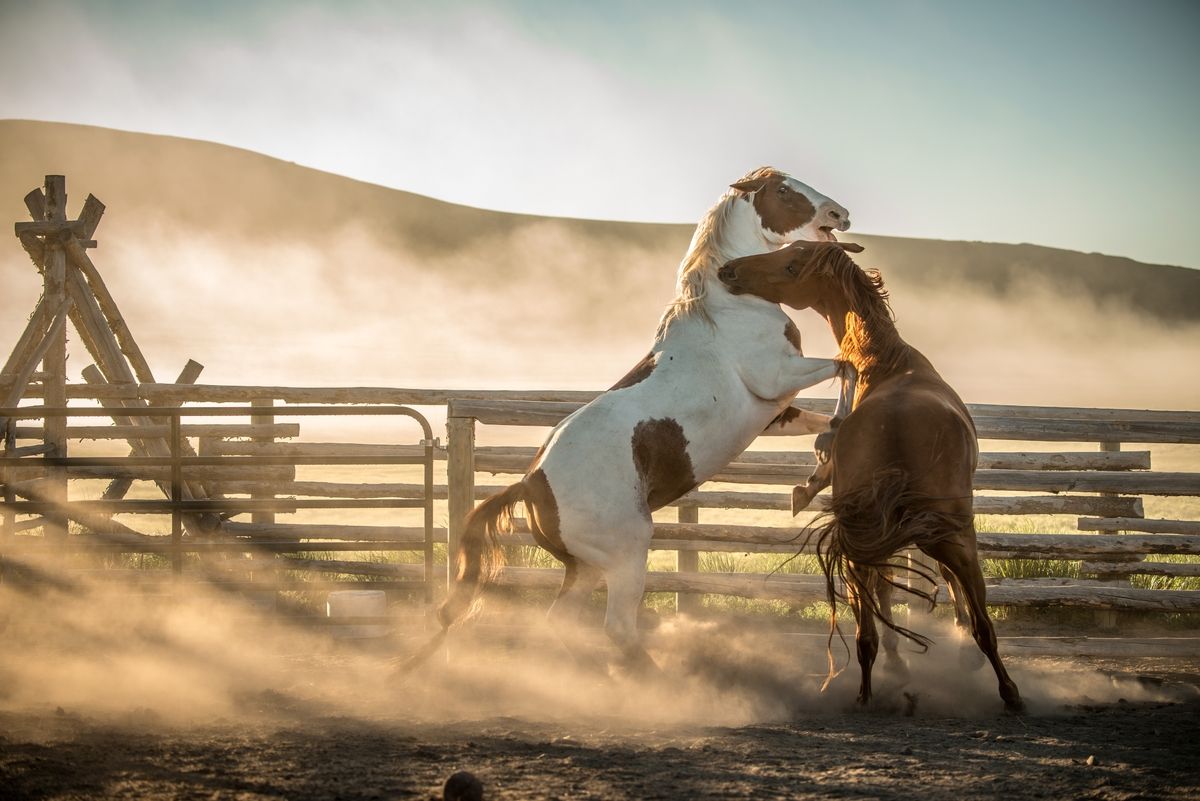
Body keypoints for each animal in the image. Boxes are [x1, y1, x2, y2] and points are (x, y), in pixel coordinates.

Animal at [420, 165, 854, 671]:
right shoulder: (778, 376)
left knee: (560, 621)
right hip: (628, 555)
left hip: (587, 568)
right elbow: (845, 366)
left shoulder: (775, 412)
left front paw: (814, 477)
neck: (728, 306)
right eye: (784, 190)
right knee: (617, 628)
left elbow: (824, 416)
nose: (839, 215)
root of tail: (530, 483)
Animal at [715, 241, 1027, 709]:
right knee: (977, 618)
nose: (729, 270)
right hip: (950, 534)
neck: (887, 363)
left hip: (879, 536)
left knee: (868, 627)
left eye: (791, 264)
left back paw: (868, 691)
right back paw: (1006, 691)